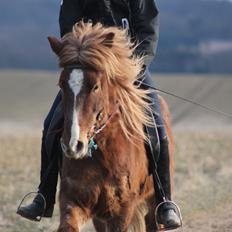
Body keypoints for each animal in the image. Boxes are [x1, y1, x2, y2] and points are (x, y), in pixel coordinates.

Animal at [47, 21, 174, 232]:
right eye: (61, 84)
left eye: (96, 86)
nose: (74, 145)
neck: (103, 154)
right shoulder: (74, 201)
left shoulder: (122, 209)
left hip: (153, 203)